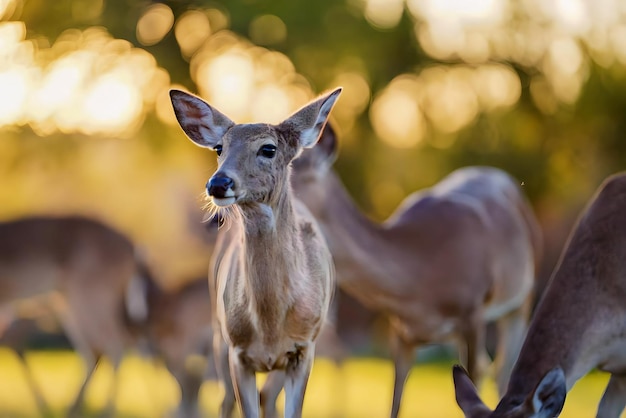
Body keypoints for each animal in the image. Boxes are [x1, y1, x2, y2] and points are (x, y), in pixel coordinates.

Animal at [168, 86, 338, 416]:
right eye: (219, 148)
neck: (270, 325)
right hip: (217, 334)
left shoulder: (305, 347)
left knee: (267, 397)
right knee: (226, 400)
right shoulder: (237, 351)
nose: (218, 183)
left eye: (268, 149)